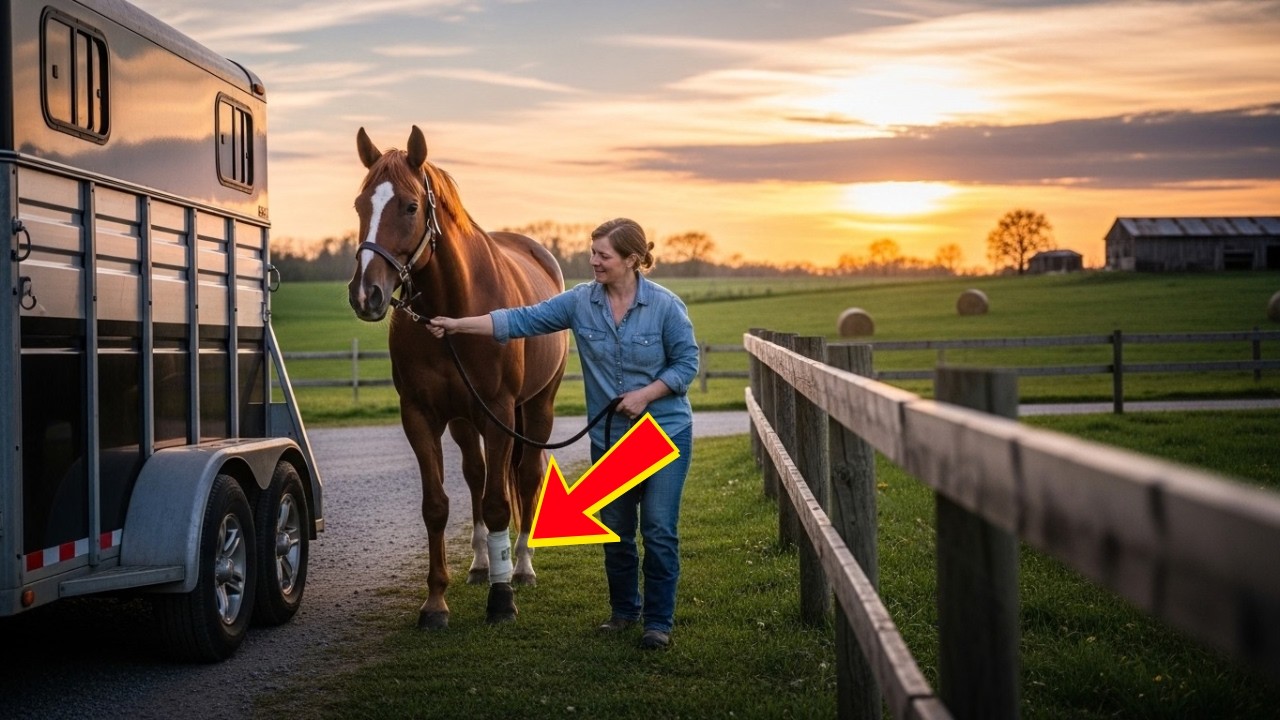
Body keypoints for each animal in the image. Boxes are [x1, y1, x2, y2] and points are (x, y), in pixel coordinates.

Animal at [347, 125, 568, 628]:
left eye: (410, 206)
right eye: (360, 204)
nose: (366, 294)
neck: (453, 307)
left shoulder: (500, 412)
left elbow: (499, 502)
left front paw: (502, 600)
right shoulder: (421, 415)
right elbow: (437, 505)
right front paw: (435, 602)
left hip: (535, 407)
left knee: (526, 475)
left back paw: (520, 567)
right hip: (468, 421)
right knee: (476, 474)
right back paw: (483, 563)